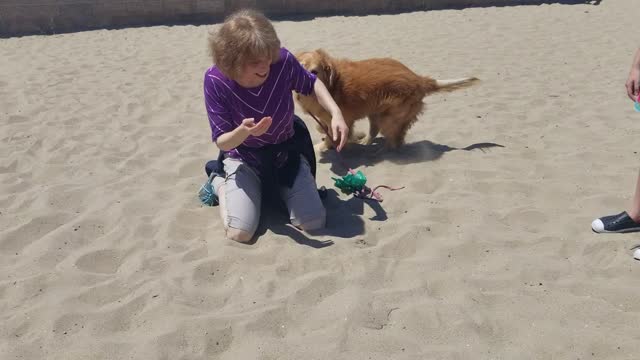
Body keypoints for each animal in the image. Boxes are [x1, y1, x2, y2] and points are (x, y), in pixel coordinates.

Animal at [292, 48, 478, 150]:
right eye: (299, 66)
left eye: (314, 71)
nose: (302, 80)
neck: (331, 84)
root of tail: (419, 80)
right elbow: (321, 127)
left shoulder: (340, 119)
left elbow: (331, 136)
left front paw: (322, 147)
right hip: (375, 111)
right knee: (377, 132)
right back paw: (365, 142)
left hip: (388, 117)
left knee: (395, 140)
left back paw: (381, 150)